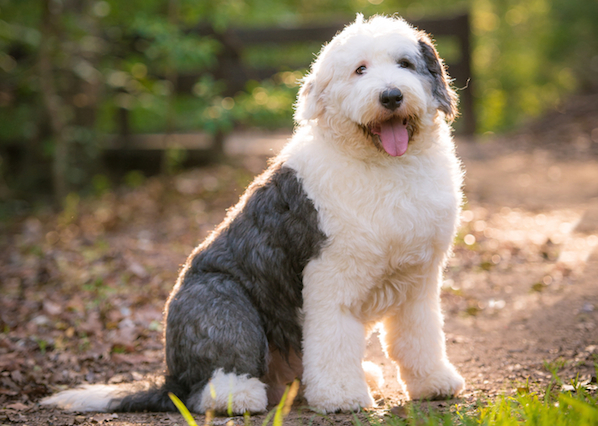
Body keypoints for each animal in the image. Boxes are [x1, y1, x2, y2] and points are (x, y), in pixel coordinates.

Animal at [42, 15, 466, 414]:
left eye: (405, 64)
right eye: (360, 69)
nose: (391, 95)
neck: (386, 167)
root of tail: (169, 379)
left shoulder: (420, 280)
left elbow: (419, 336)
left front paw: (434, 383)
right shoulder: (331, 277)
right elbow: (334, 340)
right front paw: (341, 396)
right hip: (219, 301)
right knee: (210, 384)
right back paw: (240, 397)